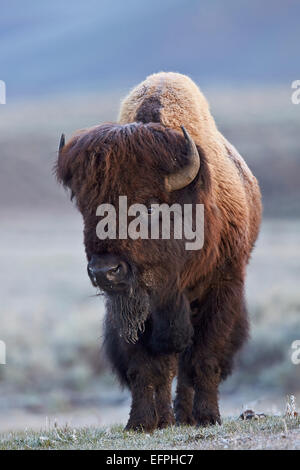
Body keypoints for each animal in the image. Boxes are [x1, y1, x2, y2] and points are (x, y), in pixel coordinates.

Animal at [55, 71, 260, 432]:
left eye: (149, 207)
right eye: (86, 208)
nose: (105, 271)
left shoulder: (223, 287)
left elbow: (204, 358)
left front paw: (208, 417)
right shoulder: (134, 308)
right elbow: (146, 368)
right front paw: (140, 422)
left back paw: (188, 416)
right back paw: (166, 418)